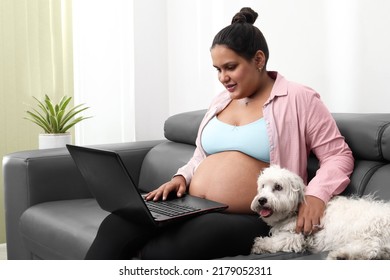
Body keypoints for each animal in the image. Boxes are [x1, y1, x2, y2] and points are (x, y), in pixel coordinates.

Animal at [250, 165, 390, 260]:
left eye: (278, 187)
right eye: (263, 186)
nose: (262, 200)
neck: (295, 211)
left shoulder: (296, 236)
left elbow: (278, 241)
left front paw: (261, 244)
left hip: (365, 229)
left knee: (371, 247)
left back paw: (342, 255)